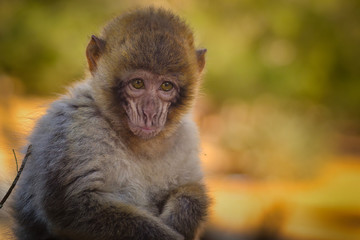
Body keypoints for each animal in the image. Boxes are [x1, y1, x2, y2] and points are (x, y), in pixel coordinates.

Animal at [11, 6, 208, 240]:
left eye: (166, 86)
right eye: (138, 83)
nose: (150, 113)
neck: (138, 144)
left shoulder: (185, 136)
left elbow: (190, 186)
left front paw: (182, 217)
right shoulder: (73, 129)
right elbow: (74, 207)